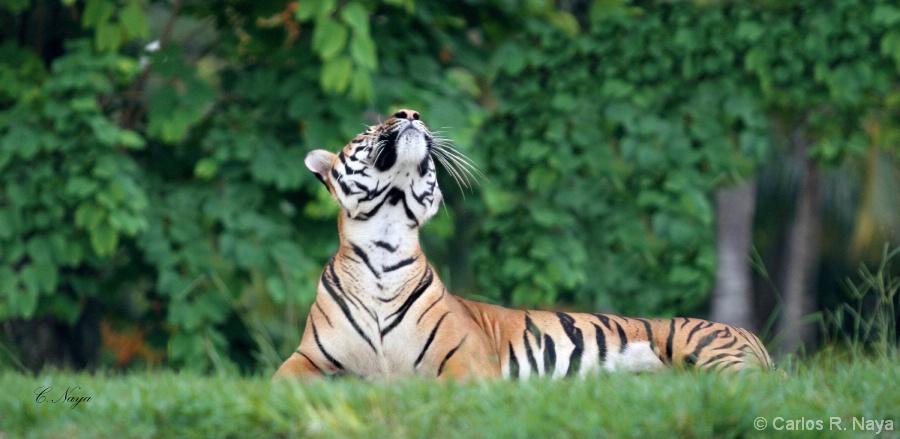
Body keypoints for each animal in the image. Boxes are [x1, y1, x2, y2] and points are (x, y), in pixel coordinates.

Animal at [272, 110, 772, 382]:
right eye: (366, 131)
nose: (409, 113)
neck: (385, 239)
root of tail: (751, 335)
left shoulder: (468, 360)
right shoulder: (308, 356)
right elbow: (276, 380)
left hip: (708, 352)